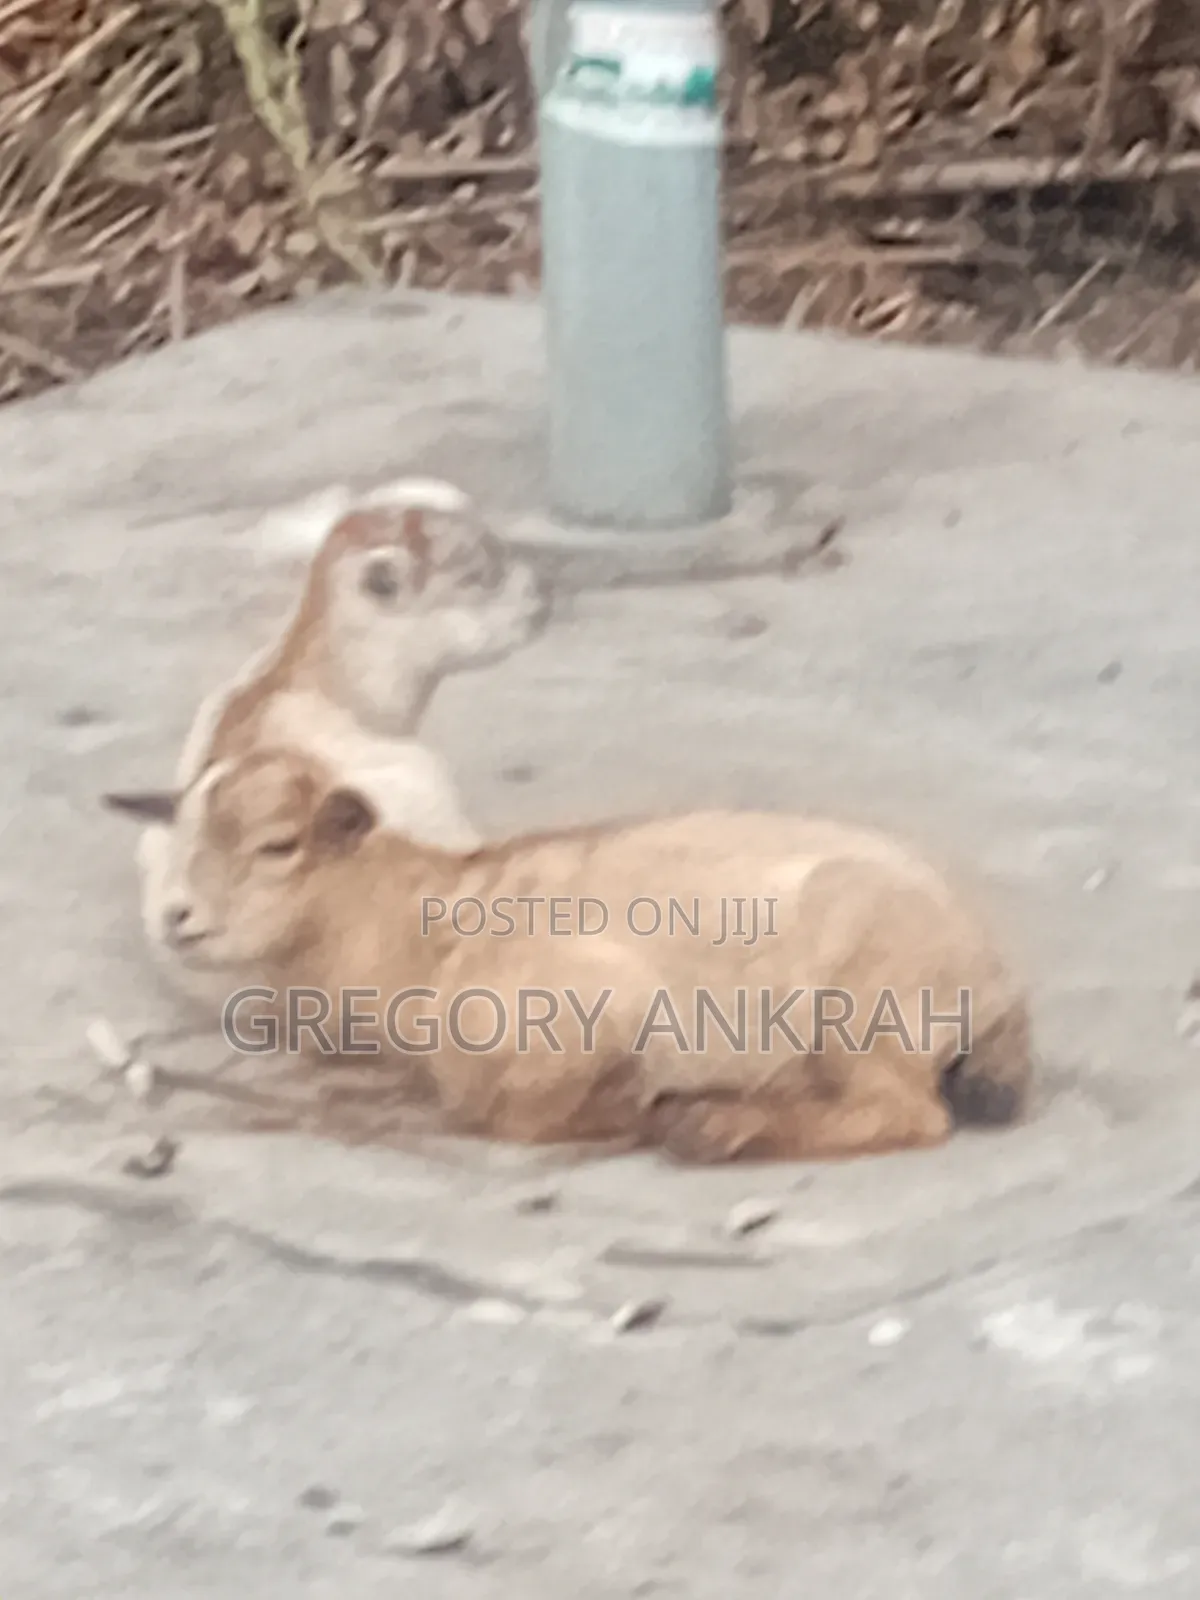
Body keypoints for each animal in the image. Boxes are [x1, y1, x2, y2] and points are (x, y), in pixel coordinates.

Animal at [106, 746, 1034, 1165]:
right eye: (182, 834)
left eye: (278, 845)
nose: (177, 918)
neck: (413, 926)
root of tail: (995, 978)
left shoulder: (595, 1004)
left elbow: (515, 1114)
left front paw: (637, 1106)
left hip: (866, 1000)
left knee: (904, 1113)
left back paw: (717, 1126)